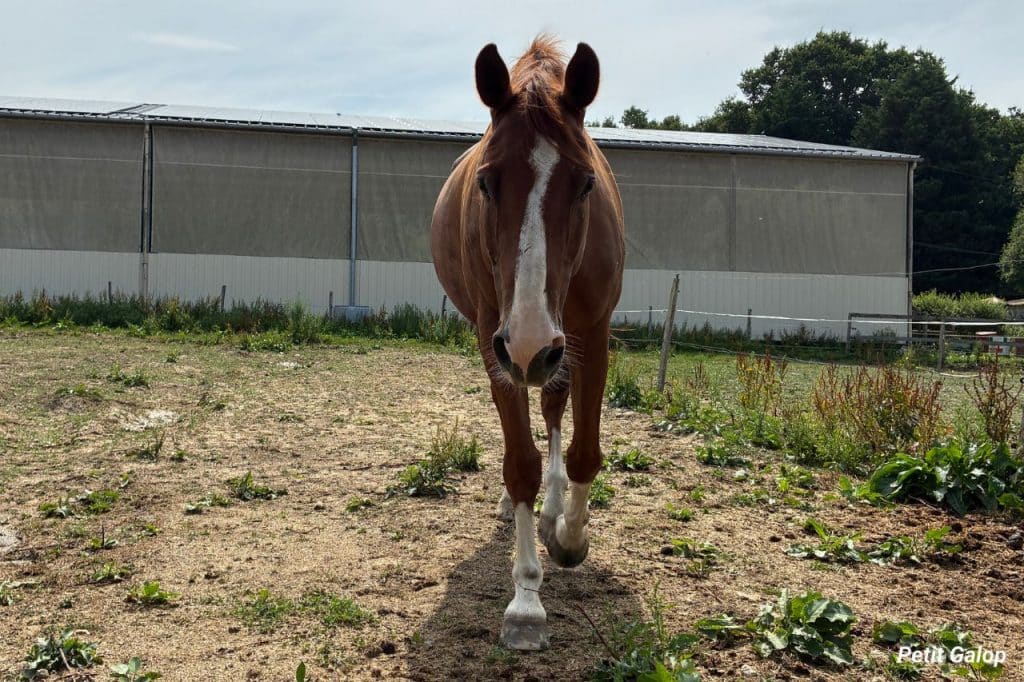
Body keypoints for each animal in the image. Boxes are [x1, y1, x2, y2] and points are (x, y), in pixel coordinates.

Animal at [430, 36, 625, 650]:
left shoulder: (590, 334)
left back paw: (555, 510)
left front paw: (568, 537)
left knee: (556, 411)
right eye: (487, 182)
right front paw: (525, 602)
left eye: (585, 182)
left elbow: (584, 450)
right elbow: (520, 463)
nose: (532, 345)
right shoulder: (498, 345)